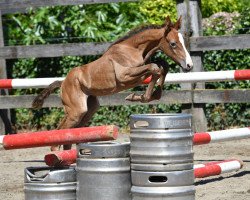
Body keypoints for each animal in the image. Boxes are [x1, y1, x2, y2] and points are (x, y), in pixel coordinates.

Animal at [32, 16, 193, 150]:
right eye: (173, 44)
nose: (189, 66)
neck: (132, 49)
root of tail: (63, 82)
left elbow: (161, 67)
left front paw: (147, 96)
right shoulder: (125, 76)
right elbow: (155, 68)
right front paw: (136, 97)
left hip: (89, 109)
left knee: (71, 135)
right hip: (76, 112)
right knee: (59, 134)